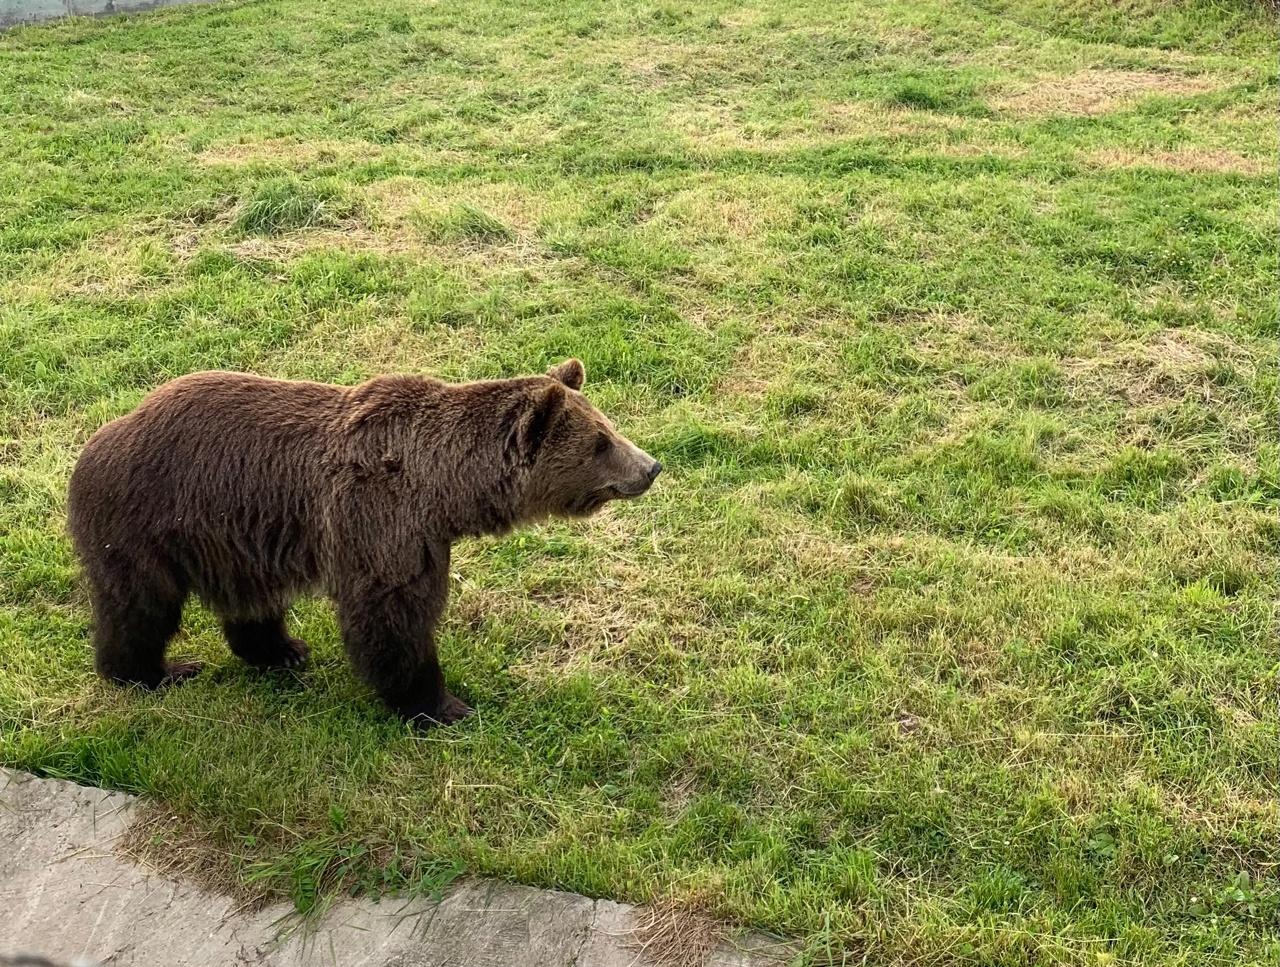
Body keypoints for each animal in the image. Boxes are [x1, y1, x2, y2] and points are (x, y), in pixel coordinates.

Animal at [67, 361, 660, 727]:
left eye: (609, 426)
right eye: (600, 443)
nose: (651, 466)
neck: (443, 488)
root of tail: (99, 437)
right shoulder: (383, 522)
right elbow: (392, 618)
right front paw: (440, 704)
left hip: (234, 536)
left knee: (250, 601)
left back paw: (283, 650)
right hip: (149, 521)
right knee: (141, 605)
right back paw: (152, 673)